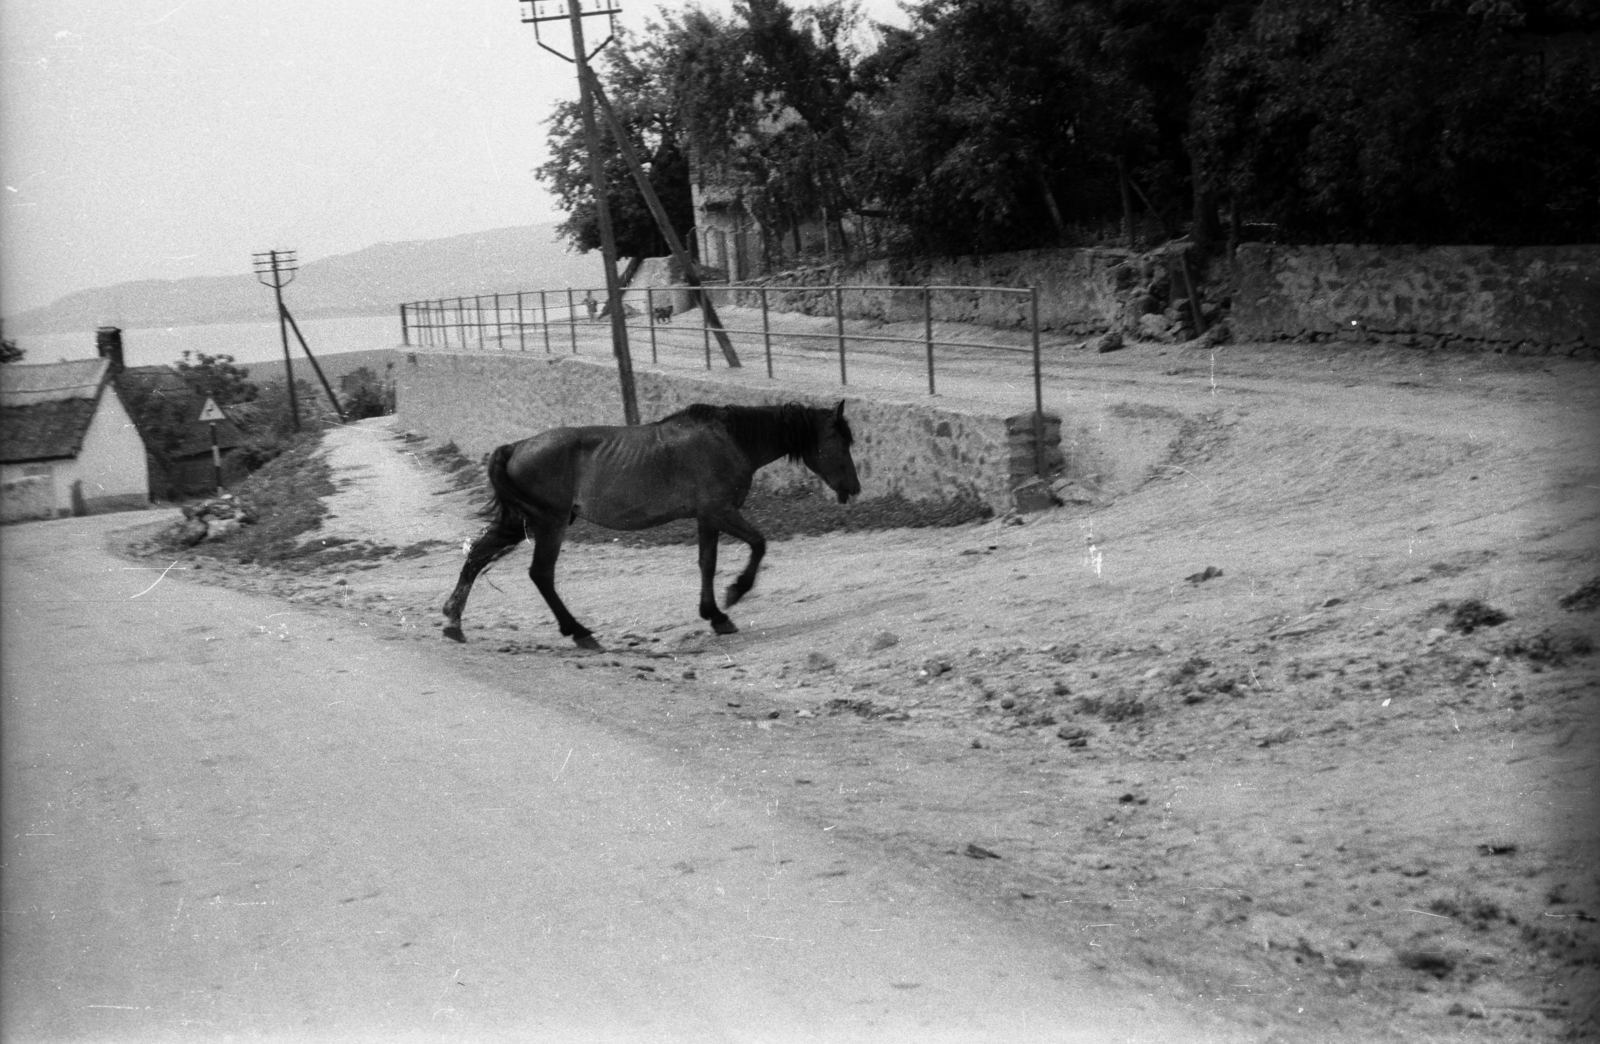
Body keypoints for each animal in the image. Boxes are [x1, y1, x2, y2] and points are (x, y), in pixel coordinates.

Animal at [438, 400, 864, 643]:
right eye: (840, 442)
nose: (854, 488)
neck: (729, 440)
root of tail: (515, 447)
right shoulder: (722, 512)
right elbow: (759, 544)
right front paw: (734, 594)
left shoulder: (707, 517)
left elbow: (707, 563)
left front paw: (715, 615)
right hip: (550, 525)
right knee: (541, 574)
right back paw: (578, 631)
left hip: (521, 522)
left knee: (477, 556)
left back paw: (453, 620)